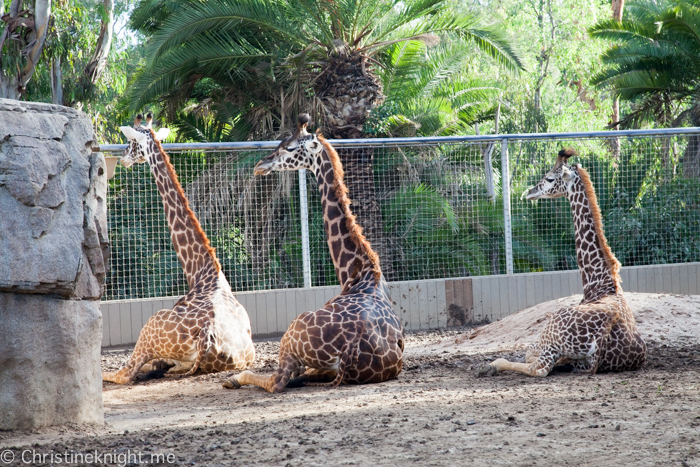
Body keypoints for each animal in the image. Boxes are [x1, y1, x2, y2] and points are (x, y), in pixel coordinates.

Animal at [102, 113, 256, 384]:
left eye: (131, 142)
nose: (122, 158)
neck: (201, 272)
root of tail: (206, 339)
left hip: (151, 324)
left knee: (123, 374)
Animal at [221, 115, 408, 394]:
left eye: (289, 147)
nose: (260, 165)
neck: (359, 272)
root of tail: (350, 352)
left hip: (293, 329)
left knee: (277, 381)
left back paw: (233, 378)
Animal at [478, 149, 648, 376]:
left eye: (550, 178)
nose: (530, 192)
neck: (598, 282)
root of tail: (603, 334)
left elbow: (528, 353)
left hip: (553, 328)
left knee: (538, 368)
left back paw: (489, 366)